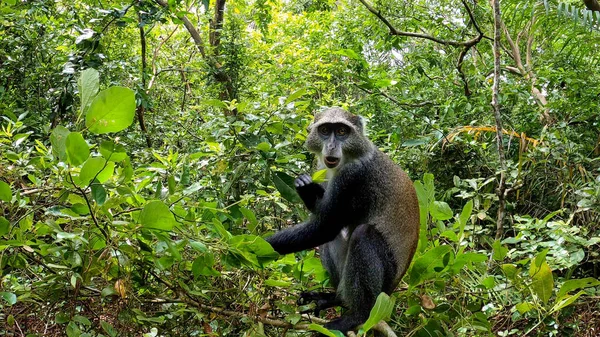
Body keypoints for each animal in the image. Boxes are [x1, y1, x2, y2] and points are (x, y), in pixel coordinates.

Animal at [264, 107, 420, 334]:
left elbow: (325, 227)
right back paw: (334, 299)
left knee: (363, 234)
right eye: (325, 130)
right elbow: (327, 223)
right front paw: (309, 188)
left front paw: (250, 246)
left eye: (341, 131)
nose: (331, 146)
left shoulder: (352, 177)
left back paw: (357, 315)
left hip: (384, 287)